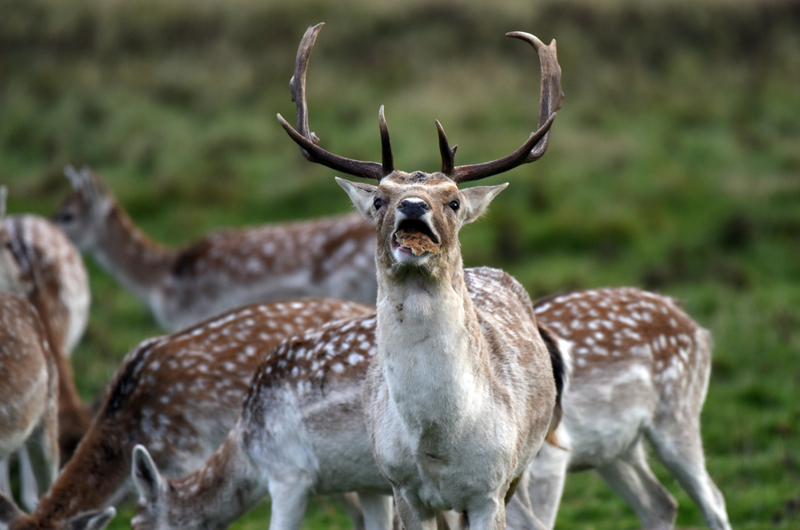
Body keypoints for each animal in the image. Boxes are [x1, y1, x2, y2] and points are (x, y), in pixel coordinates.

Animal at [278, 22, 564, 524]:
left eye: (453, 200)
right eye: (379, 199)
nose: (412, 206)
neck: (438, 442)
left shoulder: (490, 488)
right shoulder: (403, 488)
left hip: (520, 468)